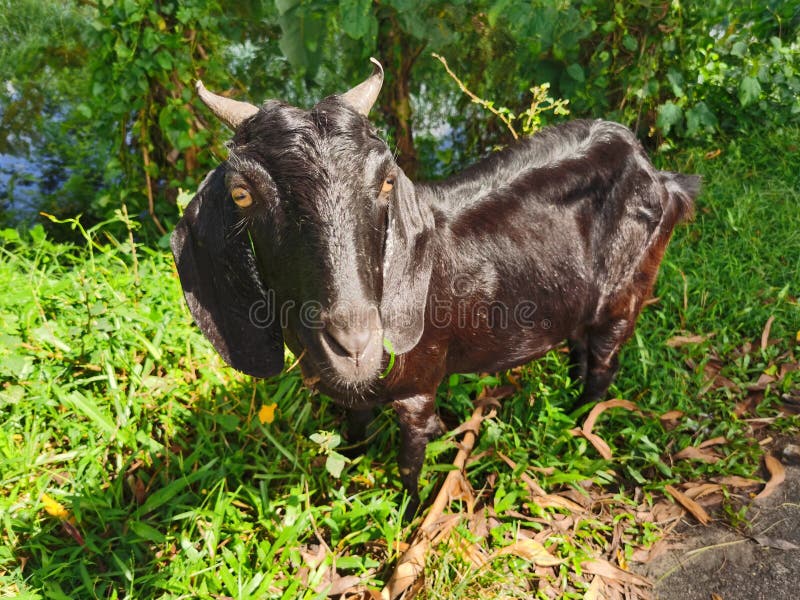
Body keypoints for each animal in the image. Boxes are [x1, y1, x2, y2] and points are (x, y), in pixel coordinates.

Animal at [172, 58, 696, 512]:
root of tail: (659, 174)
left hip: (627, 290)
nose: (355, 345)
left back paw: (577, 425)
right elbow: (355, 431)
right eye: (242, 194)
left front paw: (409, 518)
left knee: (604, 363)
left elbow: (411, 460)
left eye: (387, 181)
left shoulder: (420, 387)